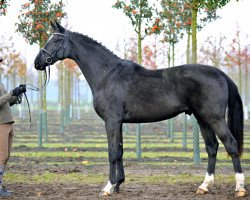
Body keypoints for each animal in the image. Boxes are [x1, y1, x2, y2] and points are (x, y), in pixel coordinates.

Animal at [33, 21, 246, 197]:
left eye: (56, 39)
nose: (37, 62)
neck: (108, 74)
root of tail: (219, 73)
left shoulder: (111, 120)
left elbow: (112, 152)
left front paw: (108, 187)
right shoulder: (118, 122)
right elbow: (119, 151)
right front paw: (118, 184)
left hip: (214, 118)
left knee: (231, 145)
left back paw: (239, 188)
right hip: (202, 118)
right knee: (212, 147)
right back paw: (204, 186)